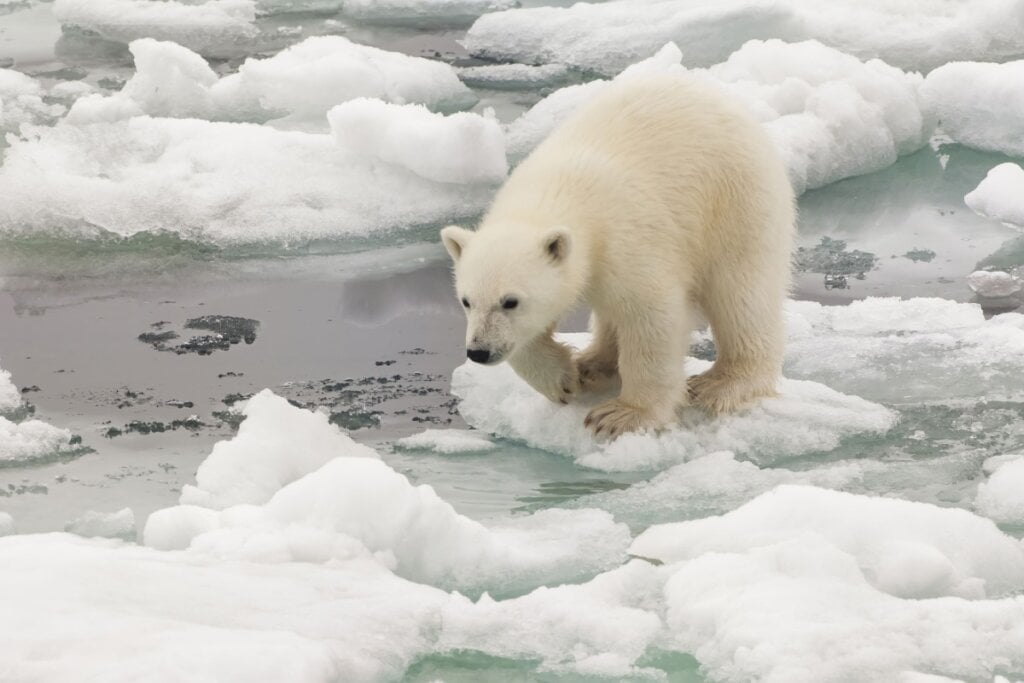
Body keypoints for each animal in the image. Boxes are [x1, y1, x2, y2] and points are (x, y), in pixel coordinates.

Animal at [440, 73, 790, 438]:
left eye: (510, 301)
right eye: (466, 301)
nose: (479, 351)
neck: (558, 192)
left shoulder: (628, 239)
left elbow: (651, 317)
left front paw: (622, 415)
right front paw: (562, 378)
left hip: (736, 203)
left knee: (740, 294)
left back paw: (722, 383)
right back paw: (593, 363)